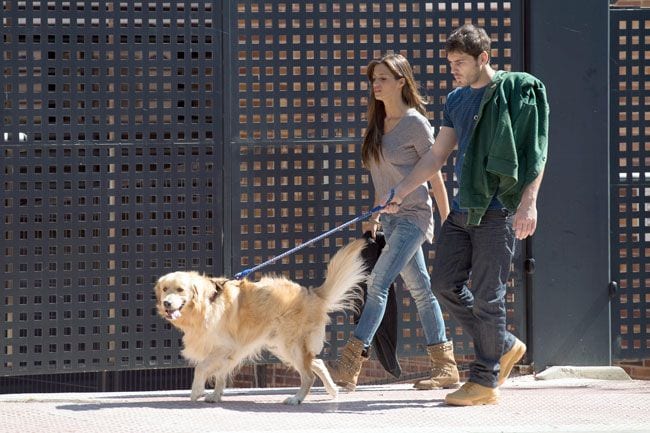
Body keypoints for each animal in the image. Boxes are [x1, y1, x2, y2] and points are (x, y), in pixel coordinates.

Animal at [151, 238, 364, 404]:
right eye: (165, 289)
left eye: (180, 289)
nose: (166, 303)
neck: (206, 302)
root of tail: (311, 293)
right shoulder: (228, 350)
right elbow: (220, 375)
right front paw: (216, 395)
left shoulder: (225, 346)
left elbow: (201, 367)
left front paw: (197, 391)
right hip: (281, 346)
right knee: (317, 362)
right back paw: (332, 390)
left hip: (289, 346)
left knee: (309, 375)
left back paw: (297, 398)